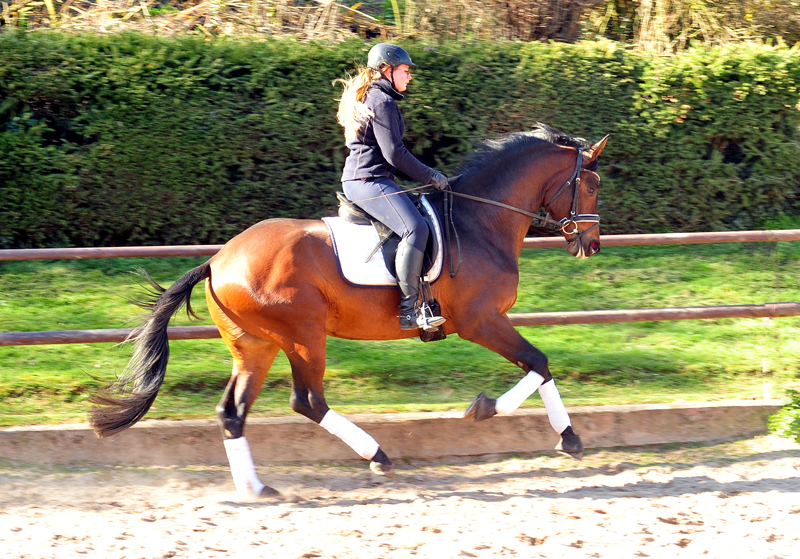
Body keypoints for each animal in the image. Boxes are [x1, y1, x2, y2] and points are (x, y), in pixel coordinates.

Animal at [89, 123, 608, 498]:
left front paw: (566, 437)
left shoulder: (487, 322)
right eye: (592, 185)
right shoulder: (481, 321)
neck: (479, 220)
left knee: (232, 412)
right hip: (302, 335)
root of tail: (217, 261)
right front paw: (500, 414)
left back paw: (256, 489)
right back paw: (377, 457)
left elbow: (539, 366)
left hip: (255, 346)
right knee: (307, 401)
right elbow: (538, 363)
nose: (592, 244)